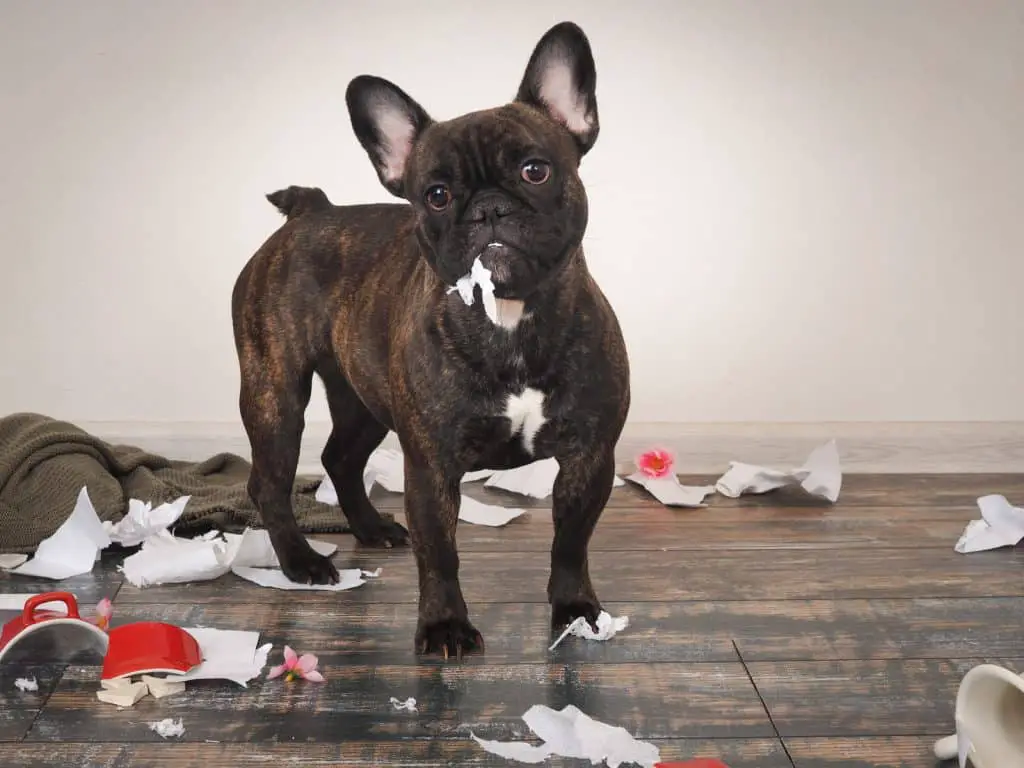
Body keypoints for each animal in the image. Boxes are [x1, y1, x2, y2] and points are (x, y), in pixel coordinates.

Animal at [232, 24, 626, 663]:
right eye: (437, 194)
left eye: (535, 171)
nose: (489, 208)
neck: (509, 319)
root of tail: (310, 212)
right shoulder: (432, 466)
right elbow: (439, 551)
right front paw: (444, 626)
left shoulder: (589, 458)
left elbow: (571, 541)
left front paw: (574, 611)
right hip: (275, 394)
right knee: (269, 481)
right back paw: (301, 563)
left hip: (363, 399)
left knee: (340, 457)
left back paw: (370, 528)